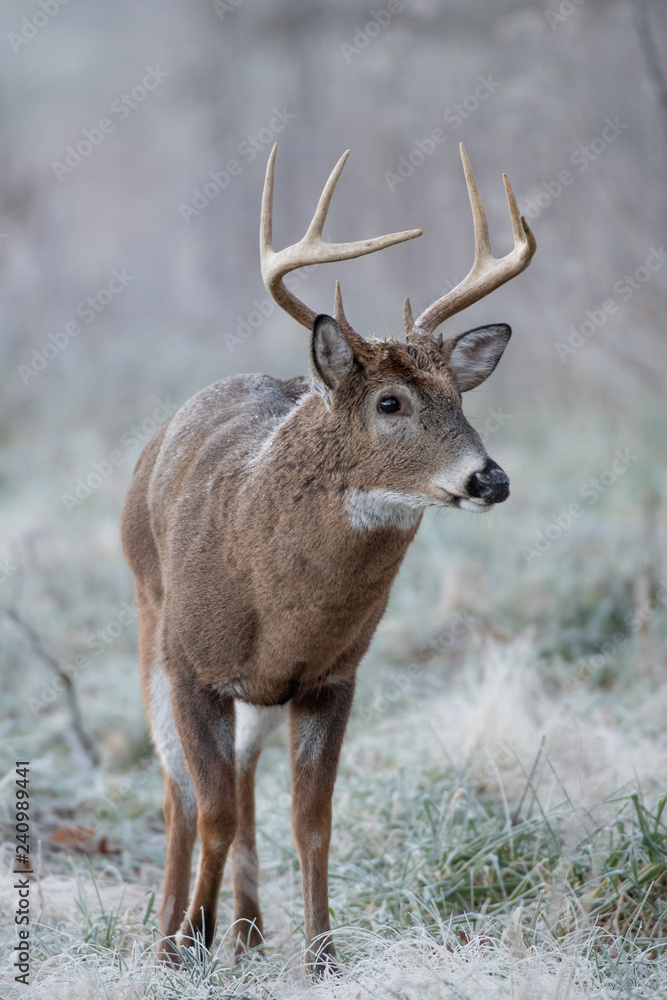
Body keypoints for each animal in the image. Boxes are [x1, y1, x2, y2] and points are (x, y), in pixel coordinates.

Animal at [120, 141, 535, 974]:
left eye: (460, 399)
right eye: (389, 402)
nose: (489, 478)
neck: (277, 604)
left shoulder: (332, 675)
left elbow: (313, 820)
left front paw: (321, 958)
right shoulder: (191, 663)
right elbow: (208, 809)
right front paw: (185, 945)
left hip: (255, 690)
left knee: (244, 776)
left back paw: (246, 932)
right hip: (150, 619)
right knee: (181, 793)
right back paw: (173, 932)